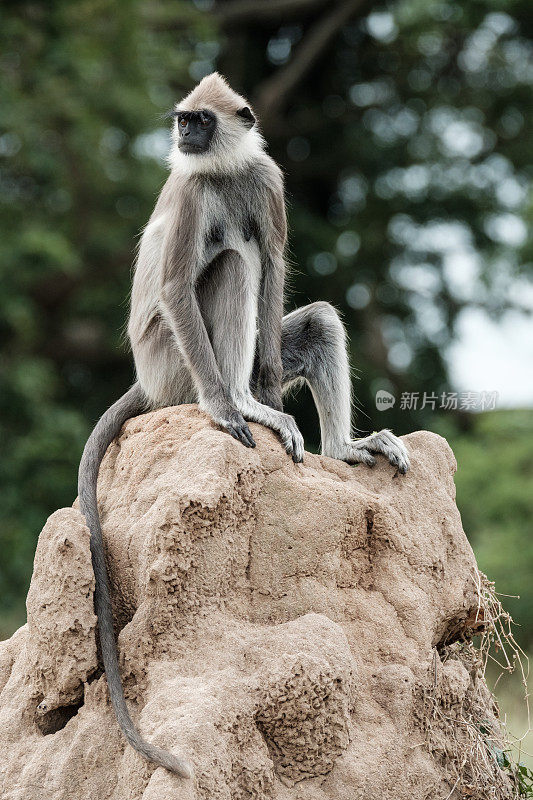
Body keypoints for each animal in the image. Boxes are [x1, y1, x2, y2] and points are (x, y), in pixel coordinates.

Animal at [78, 72, 408, 780]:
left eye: (200, 121)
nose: (183, 134)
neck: (222, 171)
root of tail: (146, 383)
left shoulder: (264, 177)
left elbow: (276, 258)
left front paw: (276, 393)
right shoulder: (193, 189)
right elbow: (179, 283)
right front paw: (230, 412)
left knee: (310, 316)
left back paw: (337, 444)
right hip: (174, 365)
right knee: (228, 264)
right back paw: (238, 403)